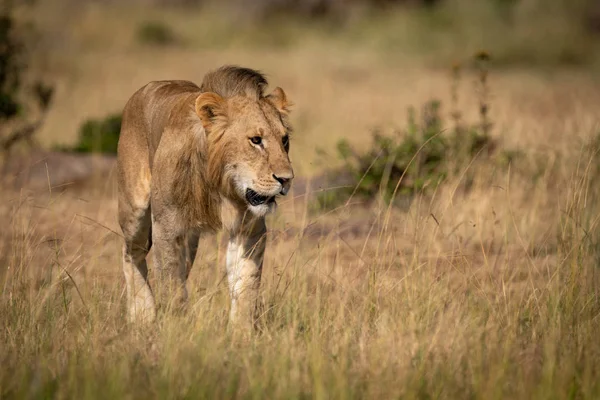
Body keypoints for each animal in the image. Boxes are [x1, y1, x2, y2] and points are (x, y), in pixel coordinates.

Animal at [117, 65, 292, 326]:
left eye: (285, 140)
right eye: (256, 140)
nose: (286, 179)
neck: (221, 183)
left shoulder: (250, 229)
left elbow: (246, 285)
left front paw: (241, 331)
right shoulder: (166, 228)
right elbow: (172, 286)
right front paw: (175, 327)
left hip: (190, 241)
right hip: (135, 211)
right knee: (131, 254)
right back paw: (142, 314)